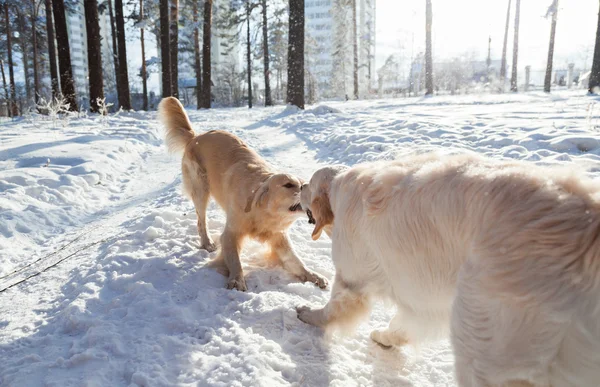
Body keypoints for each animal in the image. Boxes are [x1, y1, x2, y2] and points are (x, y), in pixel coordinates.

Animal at [159, 98, 326, 292]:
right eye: (289, 185)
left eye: (304, 183)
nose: (312, 190)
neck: (261, 212)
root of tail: (196, 137)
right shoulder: (231, 232)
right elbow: (234, 259)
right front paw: (237, 280)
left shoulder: (279, 237)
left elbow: (296, 261)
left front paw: (314, 276)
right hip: (201, 190)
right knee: (201, 221)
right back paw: (207, 243)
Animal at [298, 153, 600, 386]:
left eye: (309, 185)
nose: (299, 185)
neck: (339, 189)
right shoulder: (423, 301)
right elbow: (403, 325)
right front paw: (385, 337)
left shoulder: (352, 276)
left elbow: (333, 308)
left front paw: (309, 315)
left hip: (482, 339)